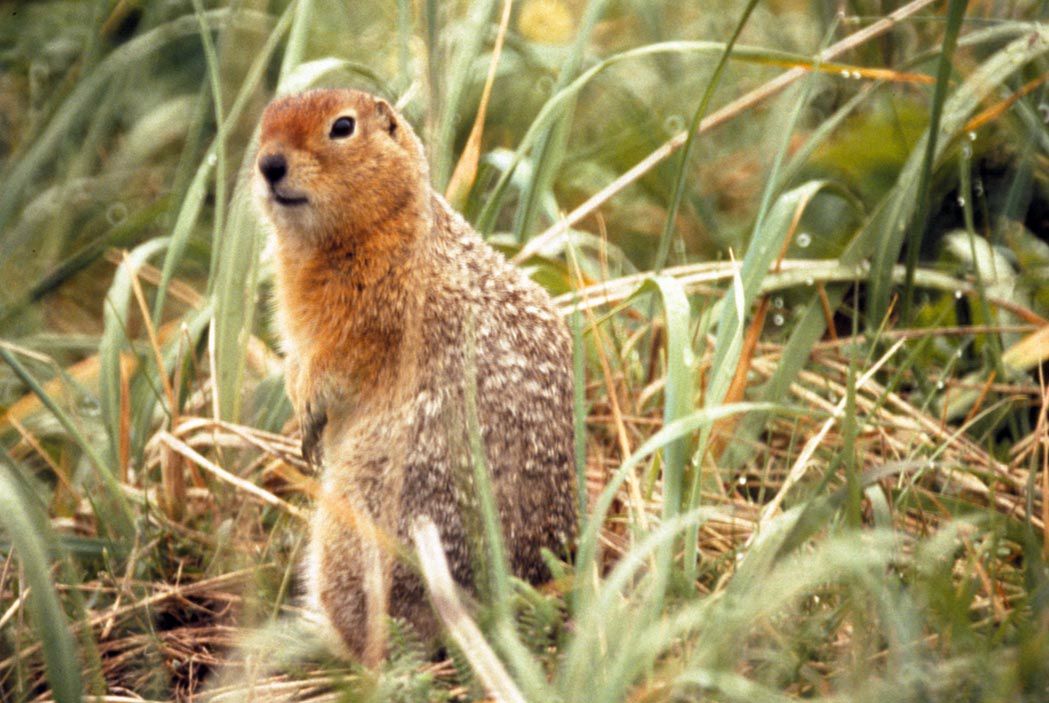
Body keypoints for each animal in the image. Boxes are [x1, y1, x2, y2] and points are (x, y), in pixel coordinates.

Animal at [255, 89, 583, 667]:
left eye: (343, 127)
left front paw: (308, 417)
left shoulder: (374, 315)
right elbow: (297, 361)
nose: (268, 164)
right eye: (266, 118)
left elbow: (332, 365)